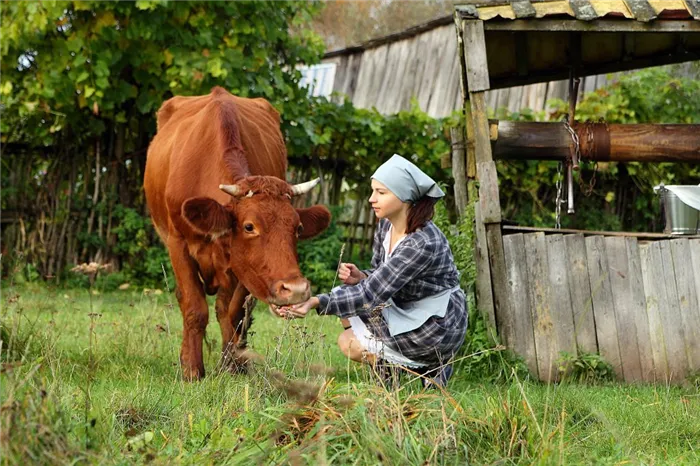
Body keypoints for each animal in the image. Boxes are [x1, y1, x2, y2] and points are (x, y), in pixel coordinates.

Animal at [144, 86, 330, 378]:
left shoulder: (244, 265)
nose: (296, 289)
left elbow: (233, 312)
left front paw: (232, 366)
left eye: (298, 227)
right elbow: (194, 308)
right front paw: (192, 370)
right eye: (249, 226)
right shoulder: (178, 243)